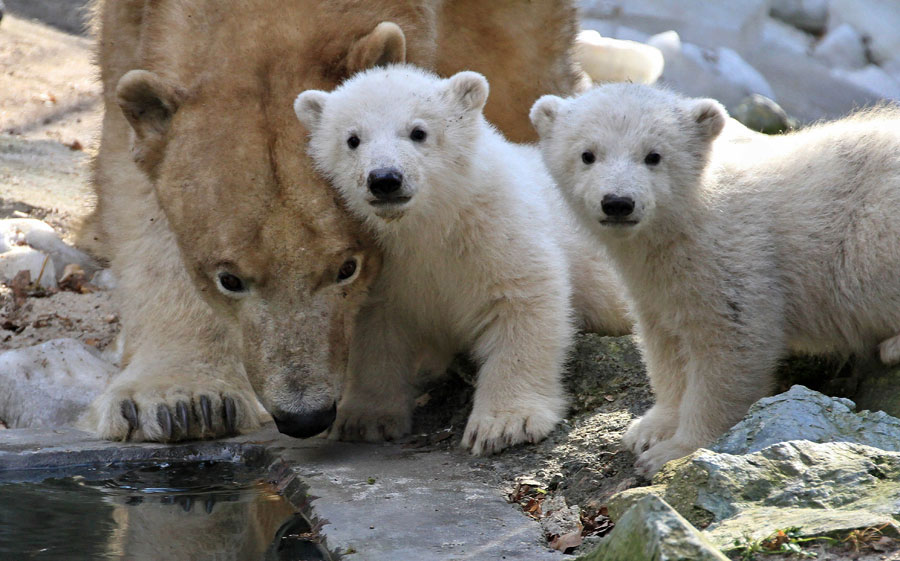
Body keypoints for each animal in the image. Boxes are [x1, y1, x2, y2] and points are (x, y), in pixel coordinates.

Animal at [77, 2, 584, 444]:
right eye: (229, 279)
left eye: (347, 267)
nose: (304, 417)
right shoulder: (130, 24)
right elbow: (133, 181)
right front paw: (179, 401)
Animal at [296, 65, 624, 452]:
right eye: (352, 139)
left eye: (418, 132)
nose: (385, 179)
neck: (433, 221)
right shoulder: (387, 265)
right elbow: (375, 329)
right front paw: (364, 420)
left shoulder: (498, 228)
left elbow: (524, 302)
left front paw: (505, 425)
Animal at [532, 83, 900, 474]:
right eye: (587, 154)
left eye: (654, 155)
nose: (618, 202)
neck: (692, 216)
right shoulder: (653, 284)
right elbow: (665, 346)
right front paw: (648, 429)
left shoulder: (736, 259)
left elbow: (729, 349)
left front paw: (672, 452)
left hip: (875, 228)